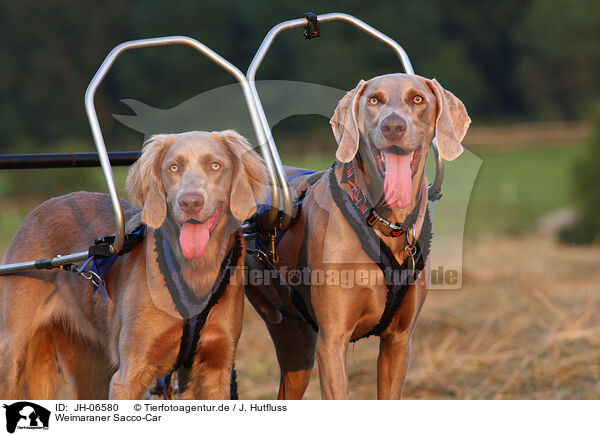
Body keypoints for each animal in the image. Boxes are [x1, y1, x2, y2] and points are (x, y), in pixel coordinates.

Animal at [0, 131, 268, 400]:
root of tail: (38, 209)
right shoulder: (127, 376)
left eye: (215, 166)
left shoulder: (216, 369)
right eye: (174, 167)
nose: (190, 203)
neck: (196, 271)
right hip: (13, 357)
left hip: (92, 368)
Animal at [246, 74, 472, 398]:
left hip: (296, 344)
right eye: (374, 100)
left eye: (417, 99)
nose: (393, 127)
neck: (382, 220)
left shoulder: (399, 341)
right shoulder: (333, 340)